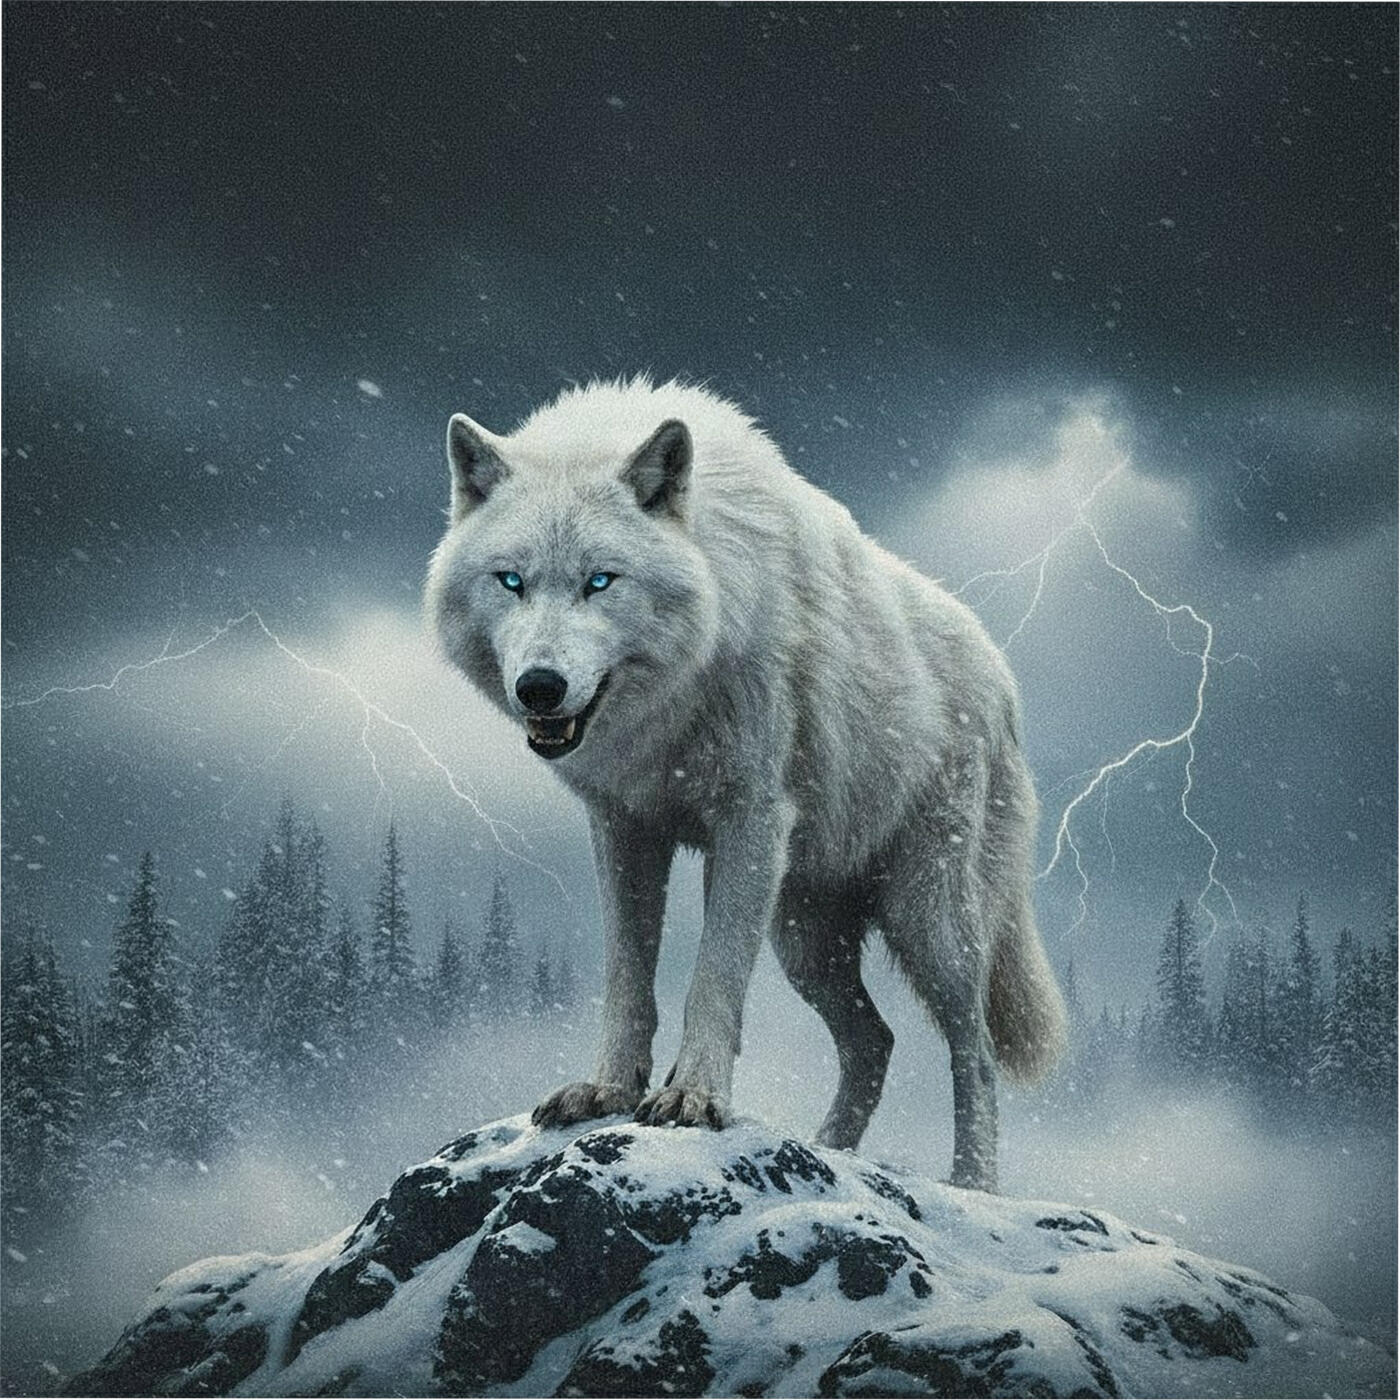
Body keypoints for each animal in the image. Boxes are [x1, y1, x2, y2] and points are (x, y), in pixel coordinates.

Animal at [425, 377, 1066, 1191]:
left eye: (600, 582)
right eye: (511, 582)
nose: (540, 687)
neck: (674, 697)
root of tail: (1003, 677)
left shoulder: (749, 821)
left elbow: (714, 977)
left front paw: (694, 1097)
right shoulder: (625, 829)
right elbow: (627, 978)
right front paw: (607, 1089)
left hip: (929, 920)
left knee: (973, 1050)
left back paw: (972, 1185)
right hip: (805, 939)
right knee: (875, 1040)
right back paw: (827, 1151)